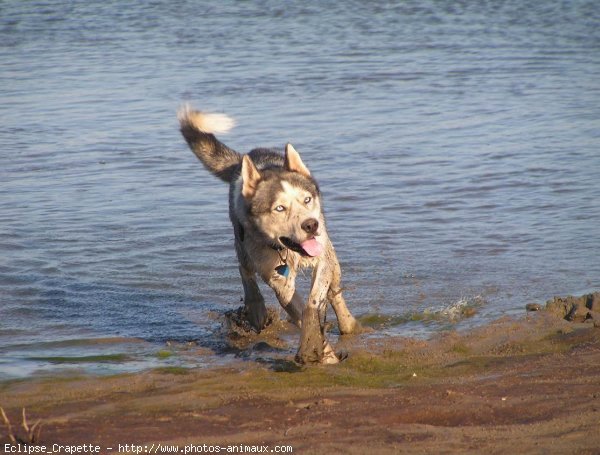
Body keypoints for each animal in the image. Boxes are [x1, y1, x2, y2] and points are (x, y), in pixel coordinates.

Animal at [176, 106, 358, 364]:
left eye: (307, 199)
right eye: (279, 208)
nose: (311, 225)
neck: (286, 251)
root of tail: (247, 158)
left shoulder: (321, 258)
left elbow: (313, 302)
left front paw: (318, 346)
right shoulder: (278, 281)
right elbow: (298, 310)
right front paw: (322, 351)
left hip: (331, 255)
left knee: (334, 287)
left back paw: (348, 322)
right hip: (242, 243)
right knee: (244, 269)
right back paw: (256, 307)